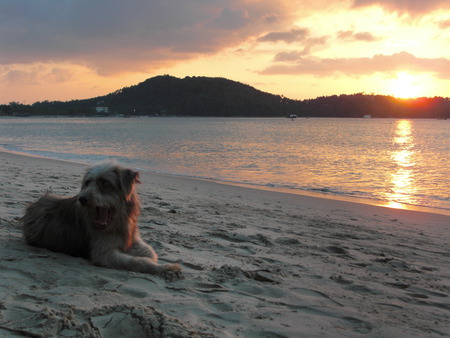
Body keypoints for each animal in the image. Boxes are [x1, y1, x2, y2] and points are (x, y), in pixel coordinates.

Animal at [19, 162, 181, 278]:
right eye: (87, 182)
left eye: (105, 183)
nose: (82, 199)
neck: (116, 223)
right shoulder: (103, 253)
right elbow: (137, 261)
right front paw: (166, 268)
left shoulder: (131, 237)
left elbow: (150, 251)